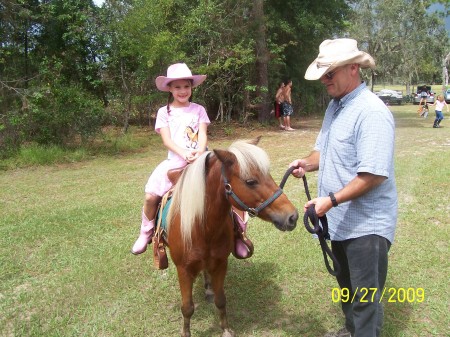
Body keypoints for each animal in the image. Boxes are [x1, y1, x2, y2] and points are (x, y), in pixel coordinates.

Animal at [166, 137, 298, 336]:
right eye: (250, 181)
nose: (292, 216)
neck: (203, 229)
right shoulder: (184, 270)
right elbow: (187, 308)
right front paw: (186, 332)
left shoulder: (221, 263)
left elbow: (221, 300)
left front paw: (226, 329)